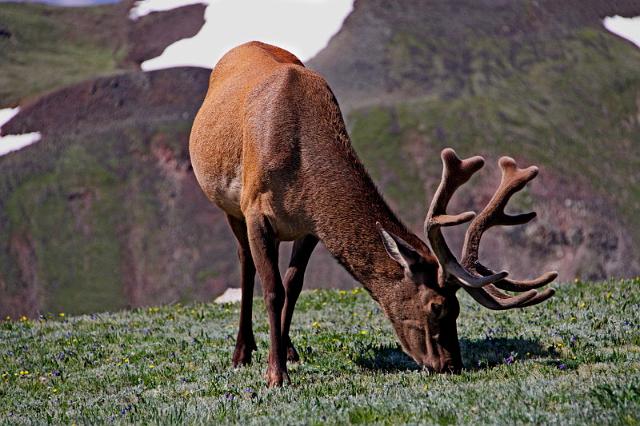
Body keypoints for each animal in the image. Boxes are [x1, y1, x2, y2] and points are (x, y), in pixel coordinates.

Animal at [189, 41, 556, 388]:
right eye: (437, 306)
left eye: (457, 308)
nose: (451, 365)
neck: (301, 170)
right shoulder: (255, 210)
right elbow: (272, 291)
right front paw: (275, 376)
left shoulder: (310, 227)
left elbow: (293, 286)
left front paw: (284, 355)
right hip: (229, 206)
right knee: (246, 266)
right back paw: (242, 352)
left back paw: (287, 348)